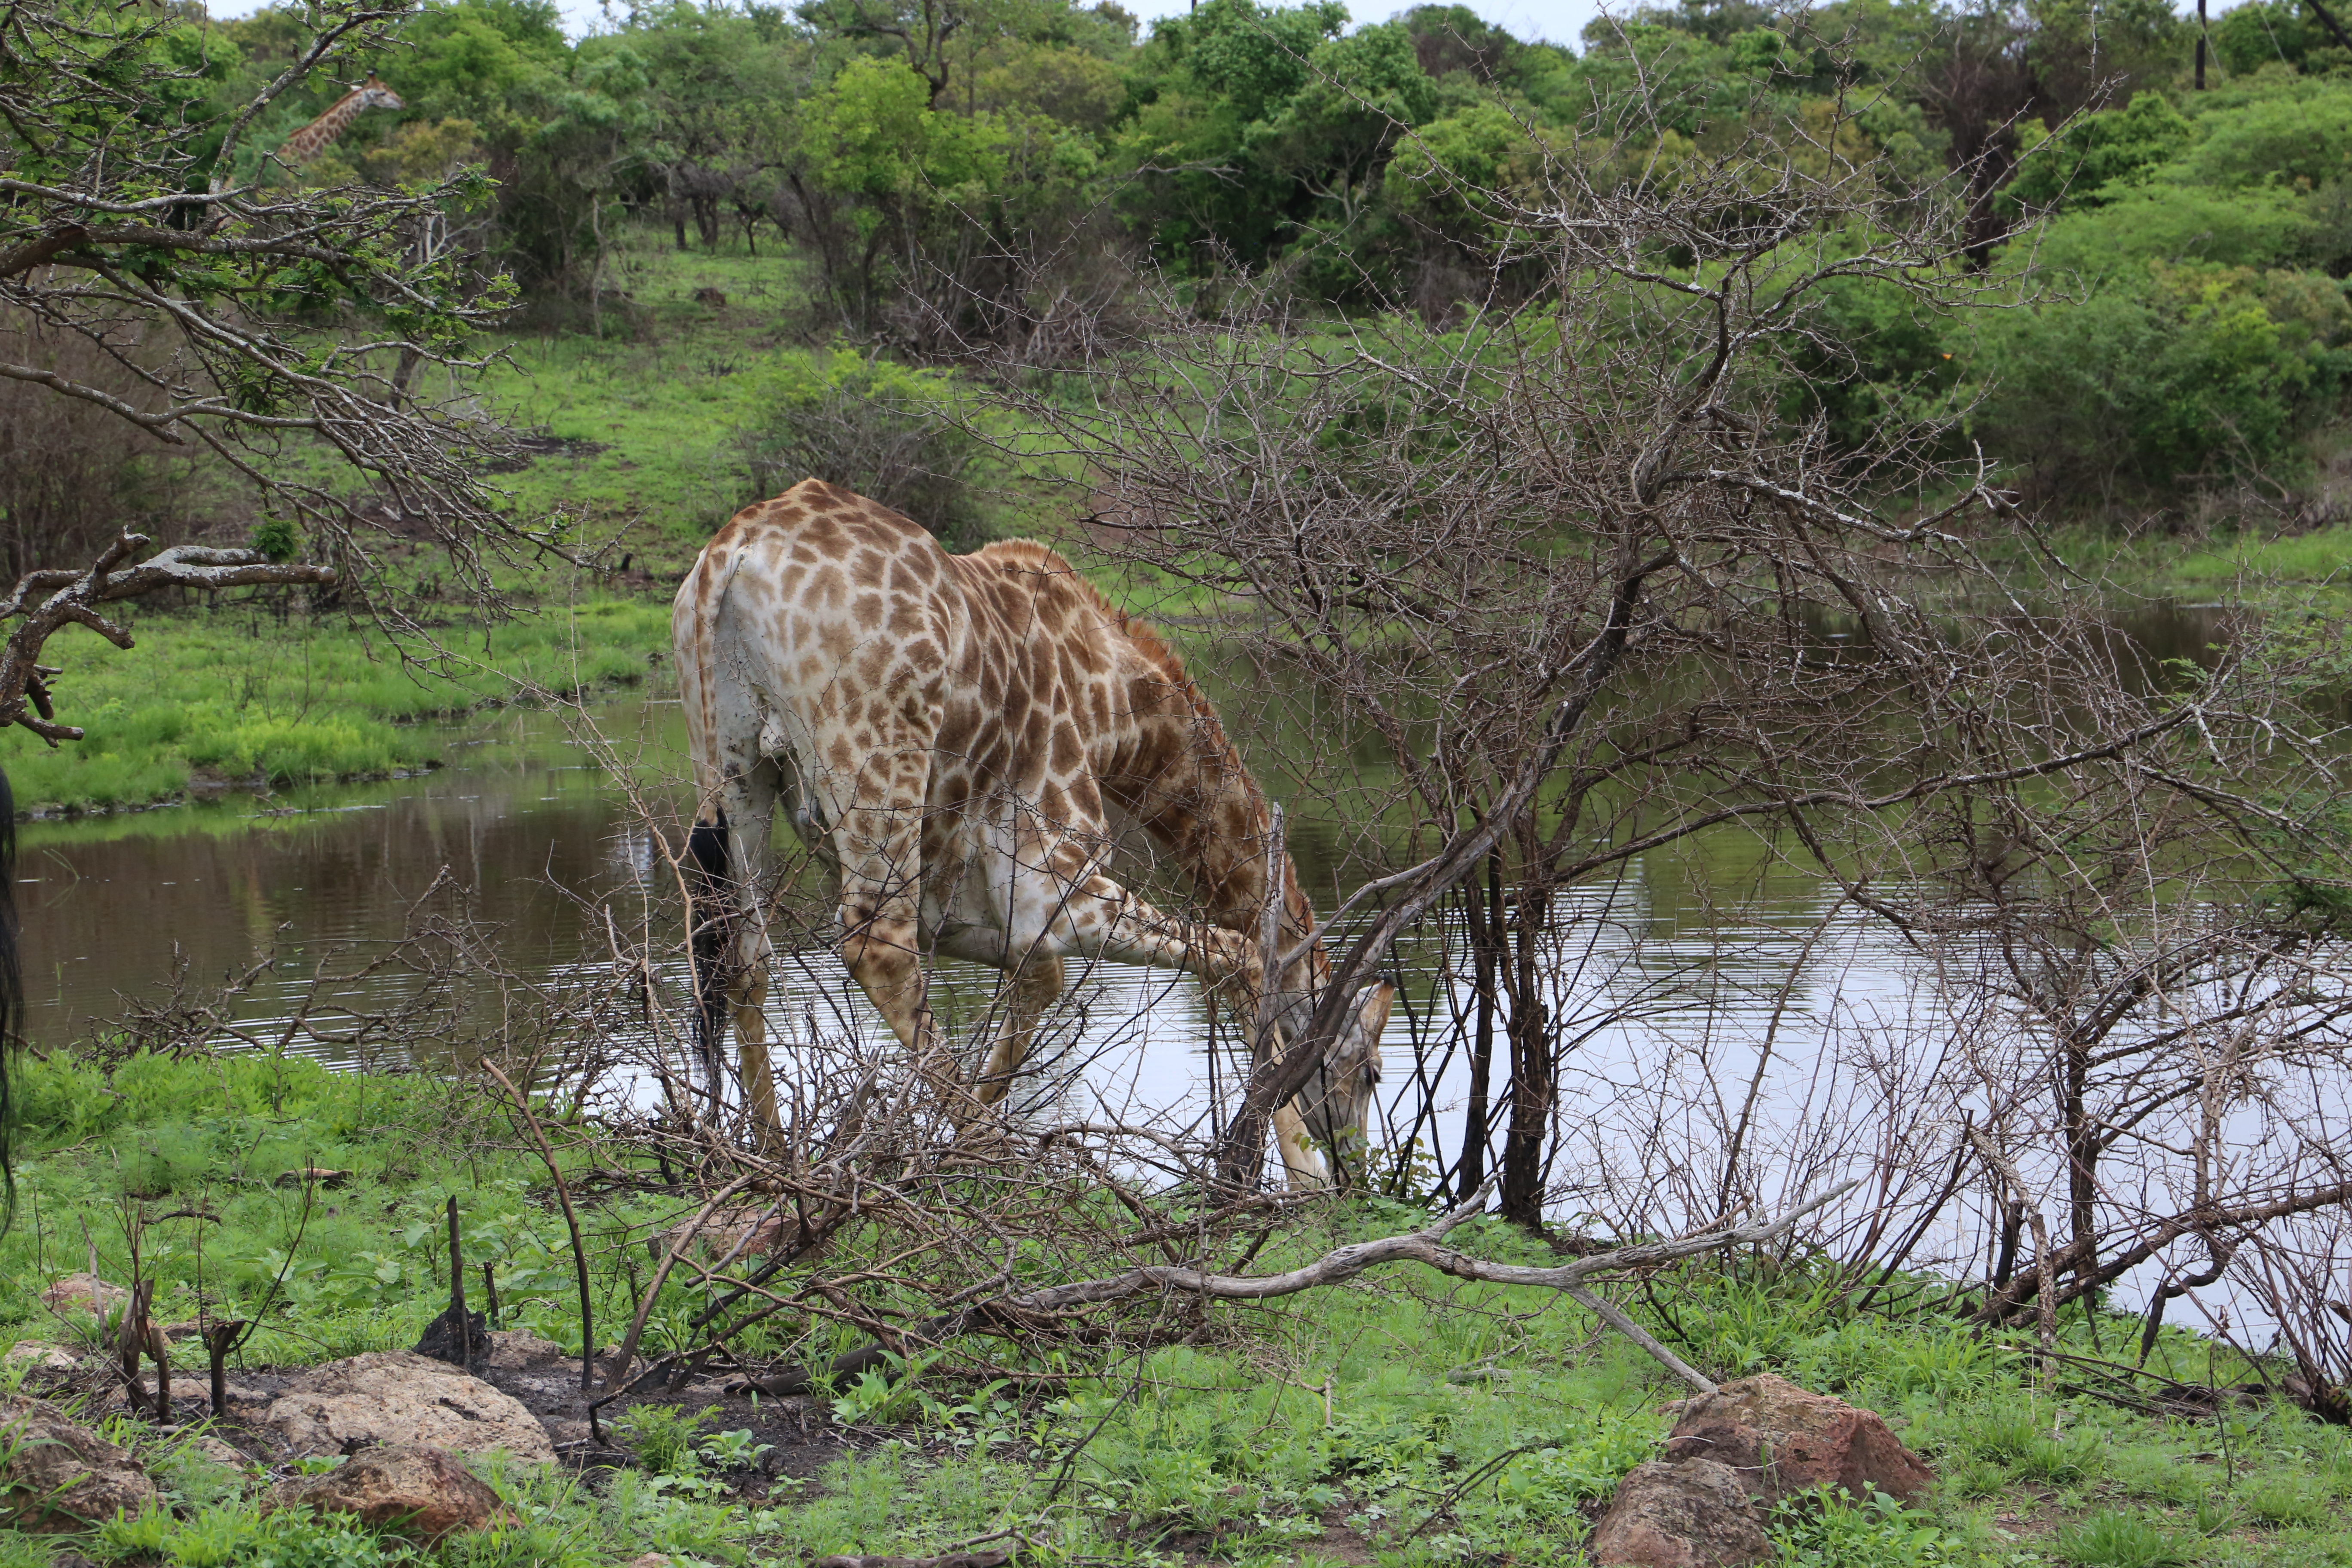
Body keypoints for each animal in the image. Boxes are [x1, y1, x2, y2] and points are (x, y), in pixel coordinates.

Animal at [674, 480, 1397, 1186]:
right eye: (1372, 1072)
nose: (1356, 1175)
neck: (1117, 713)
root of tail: (731, 556)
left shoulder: (975, 911)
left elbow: (1041, 979)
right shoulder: (1060, 879)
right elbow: (1238, 953)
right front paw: (1298, 1173)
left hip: (732, 771)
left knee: (745, 953)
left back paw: (773, 1159)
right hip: (877, 771)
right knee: (875, 945)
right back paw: (976, 1151)